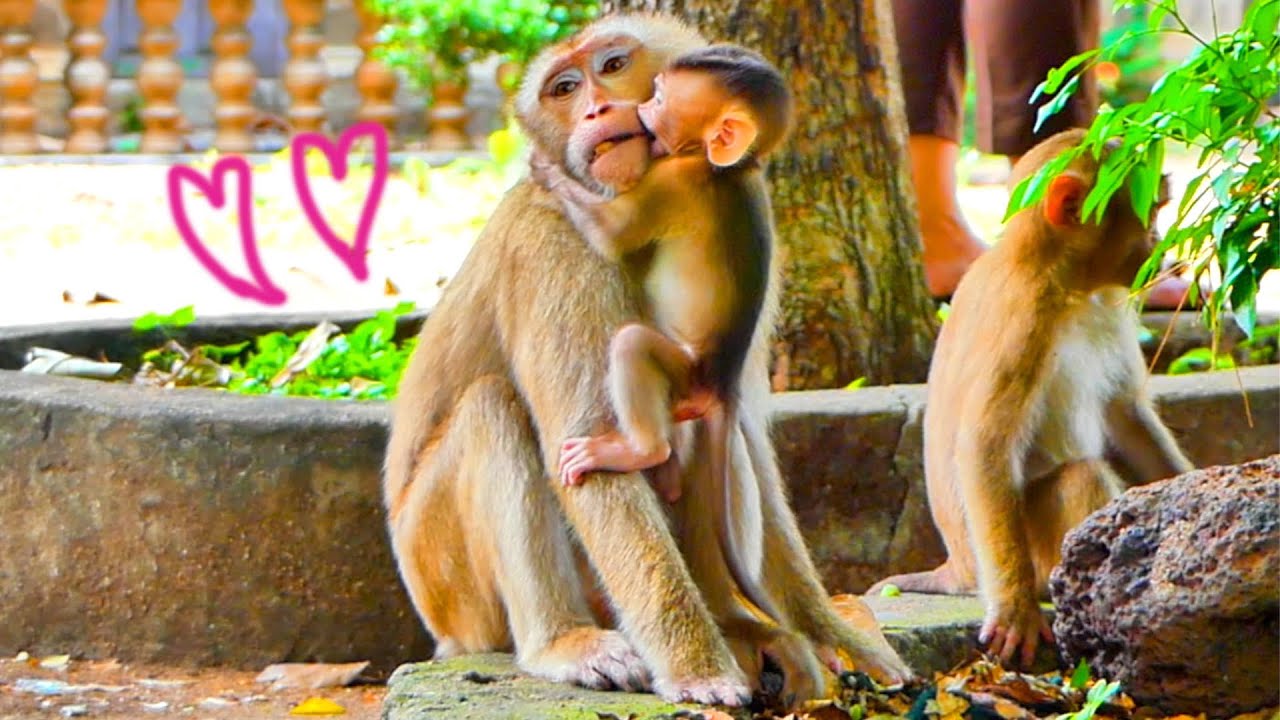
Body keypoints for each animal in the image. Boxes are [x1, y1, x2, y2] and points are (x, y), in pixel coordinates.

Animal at [384, 13, 914, 708]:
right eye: (564, 88)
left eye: (611, 66)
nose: (595, 108)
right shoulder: (554, 246)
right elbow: (583, 442)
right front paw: (697, 667)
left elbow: (742, 422)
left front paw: (830, 629)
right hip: (448, 581)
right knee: (492, 408)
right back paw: (565, 642)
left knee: (711, 431)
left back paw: (743, 624)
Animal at [868, 128, 1194, 669]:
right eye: (1150, 211)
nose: (1160, 247)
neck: (1059, 276)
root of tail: (958, 568)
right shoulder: (1023, 321)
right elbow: (984, 447)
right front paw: (1015, 608)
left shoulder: (1111, 307)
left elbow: (1125, 414)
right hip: (1033, 550)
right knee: (1080, 477)